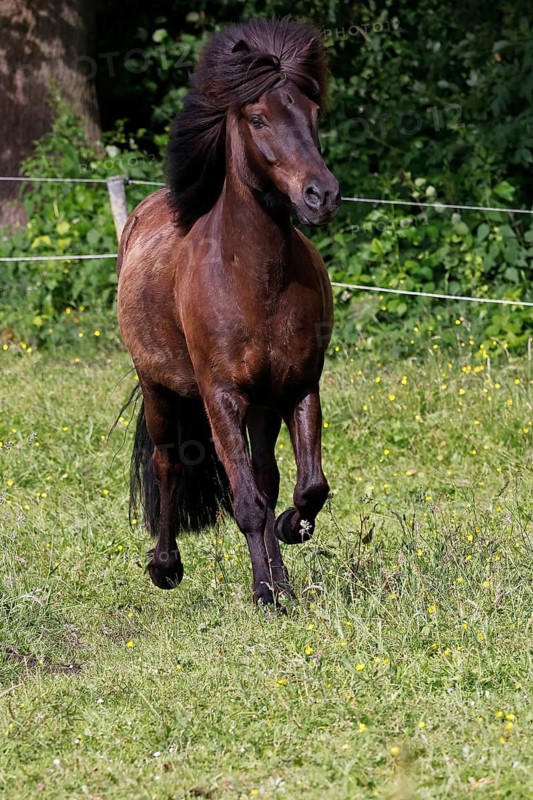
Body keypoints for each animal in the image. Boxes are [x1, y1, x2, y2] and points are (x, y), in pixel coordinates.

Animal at [117, 18, 340, 609]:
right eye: (258, 118)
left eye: (313, 115)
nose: (322, 195)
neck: (255, 283)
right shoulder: (220, 398)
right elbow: (245, 505)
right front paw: (264, 594)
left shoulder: (298, 387)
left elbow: (306, 487)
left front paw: (290, 535)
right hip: (158, 386)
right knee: (168, 464)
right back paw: (166, 566)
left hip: (260, 407)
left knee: (266, 477)